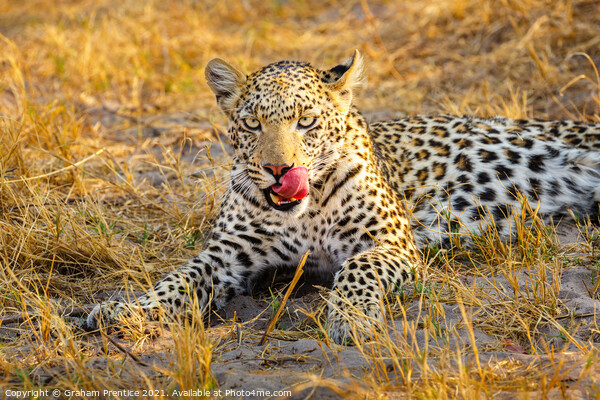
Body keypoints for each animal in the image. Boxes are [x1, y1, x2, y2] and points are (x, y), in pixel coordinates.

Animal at [84, 50, 600, 344]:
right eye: (251, 124)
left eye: (306, 122)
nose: (279, 171)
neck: (304, 212)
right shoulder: (228, 253)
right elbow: (178, 278)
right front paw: (127, 309)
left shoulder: (390, 244)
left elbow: (356, 270)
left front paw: (350, 319)